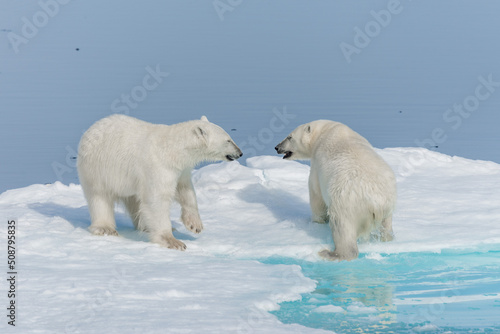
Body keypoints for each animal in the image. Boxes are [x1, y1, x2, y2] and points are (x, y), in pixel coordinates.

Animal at [77, 115, 243, 250]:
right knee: (100, 197)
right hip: (97, 169)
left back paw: (146, 226)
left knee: (136, 200)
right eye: (228, 140)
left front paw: (194, 225)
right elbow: (157, 200)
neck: (173, 150)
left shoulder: (180, 170)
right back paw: (105, 228)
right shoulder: (159, 167)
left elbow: (185, 191)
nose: (240, 153)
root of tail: (91, 128)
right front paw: (173, 241)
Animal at [276, 120, 396, 260]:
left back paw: (332, 253)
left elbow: (316, 195)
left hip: (347, 203)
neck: (324, 131)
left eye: (289, 137)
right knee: (386, 225)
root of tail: (375, 202)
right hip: (388, 205)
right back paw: (386, 238)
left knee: (342, 227)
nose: (277, 147)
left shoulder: (317, 165)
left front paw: (317, 221)